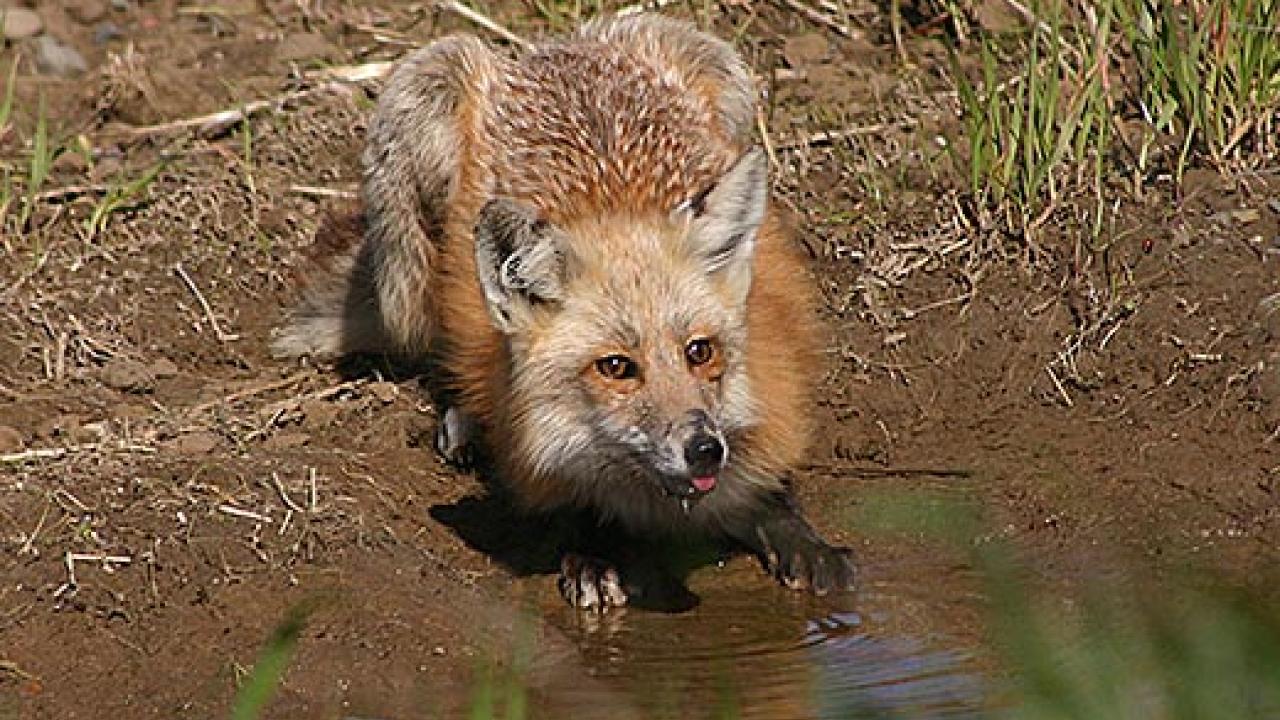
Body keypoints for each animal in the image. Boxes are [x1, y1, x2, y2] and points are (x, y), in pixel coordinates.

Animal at [273, 13, 856, 610]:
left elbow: (769, 498)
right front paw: (595, 553)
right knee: (427, 337)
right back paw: (463, 419)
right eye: (616, 367)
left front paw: (799, 536)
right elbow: (573, 510)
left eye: (700, 352)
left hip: (730, 80)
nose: (703, 450)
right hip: (406, 246)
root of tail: (546, 49)